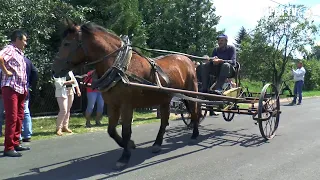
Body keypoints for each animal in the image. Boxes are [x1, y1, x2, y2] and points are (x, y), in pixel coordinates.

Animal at [52, 20, 200, 170]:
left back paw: (195, 135)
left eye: (66, 43)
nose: (54, 70)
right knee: (164, 120)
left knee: (194, 112)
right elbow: (111, 130)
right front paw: (129, 144)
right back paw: (157, 144)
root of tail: (188, 60)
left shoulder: (126, 105)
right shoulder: (113, 105)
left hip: (191, 92)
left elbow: (126, 131)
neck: (120, 68)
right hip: (165, 99)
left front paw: (124, 157)